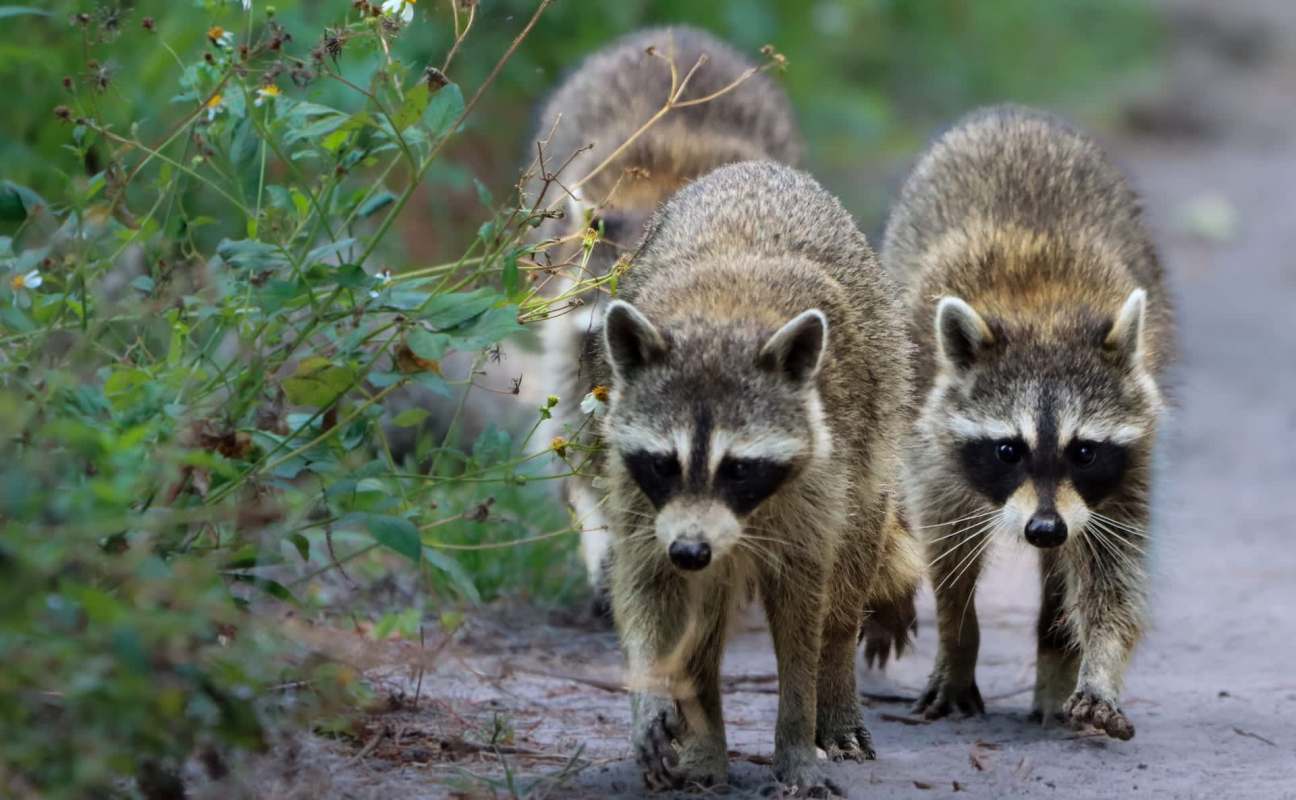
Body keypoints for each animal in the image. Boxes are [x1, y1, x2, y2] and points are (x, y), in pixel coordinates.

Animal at [593, 161, 920, 794]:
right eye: (664, 462)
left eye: (738, 467)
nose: (691, 549)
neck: (720, 318)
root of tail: (756, 168)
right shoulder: (639, 493)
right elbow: (648, 583)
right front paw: (656, 693)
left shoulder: (818, 480)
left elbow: (803, 615)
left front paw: (795, 737)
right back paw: (705, 737)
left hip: (879, 411)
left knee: (846, 583)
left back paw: (834, 696)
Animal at [882, 105, 1174, 740]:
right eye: (1008, 450)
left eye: (1083, 451)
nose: (1043, 529)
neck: (1044, 314)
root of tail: (1014, 113)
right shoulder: (932, 440)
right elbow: (946, 553)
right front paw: (957, 640)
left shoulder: (1127, 465)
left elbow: (1112, 573)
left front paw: (1099, 667)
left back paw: (1054, 654)